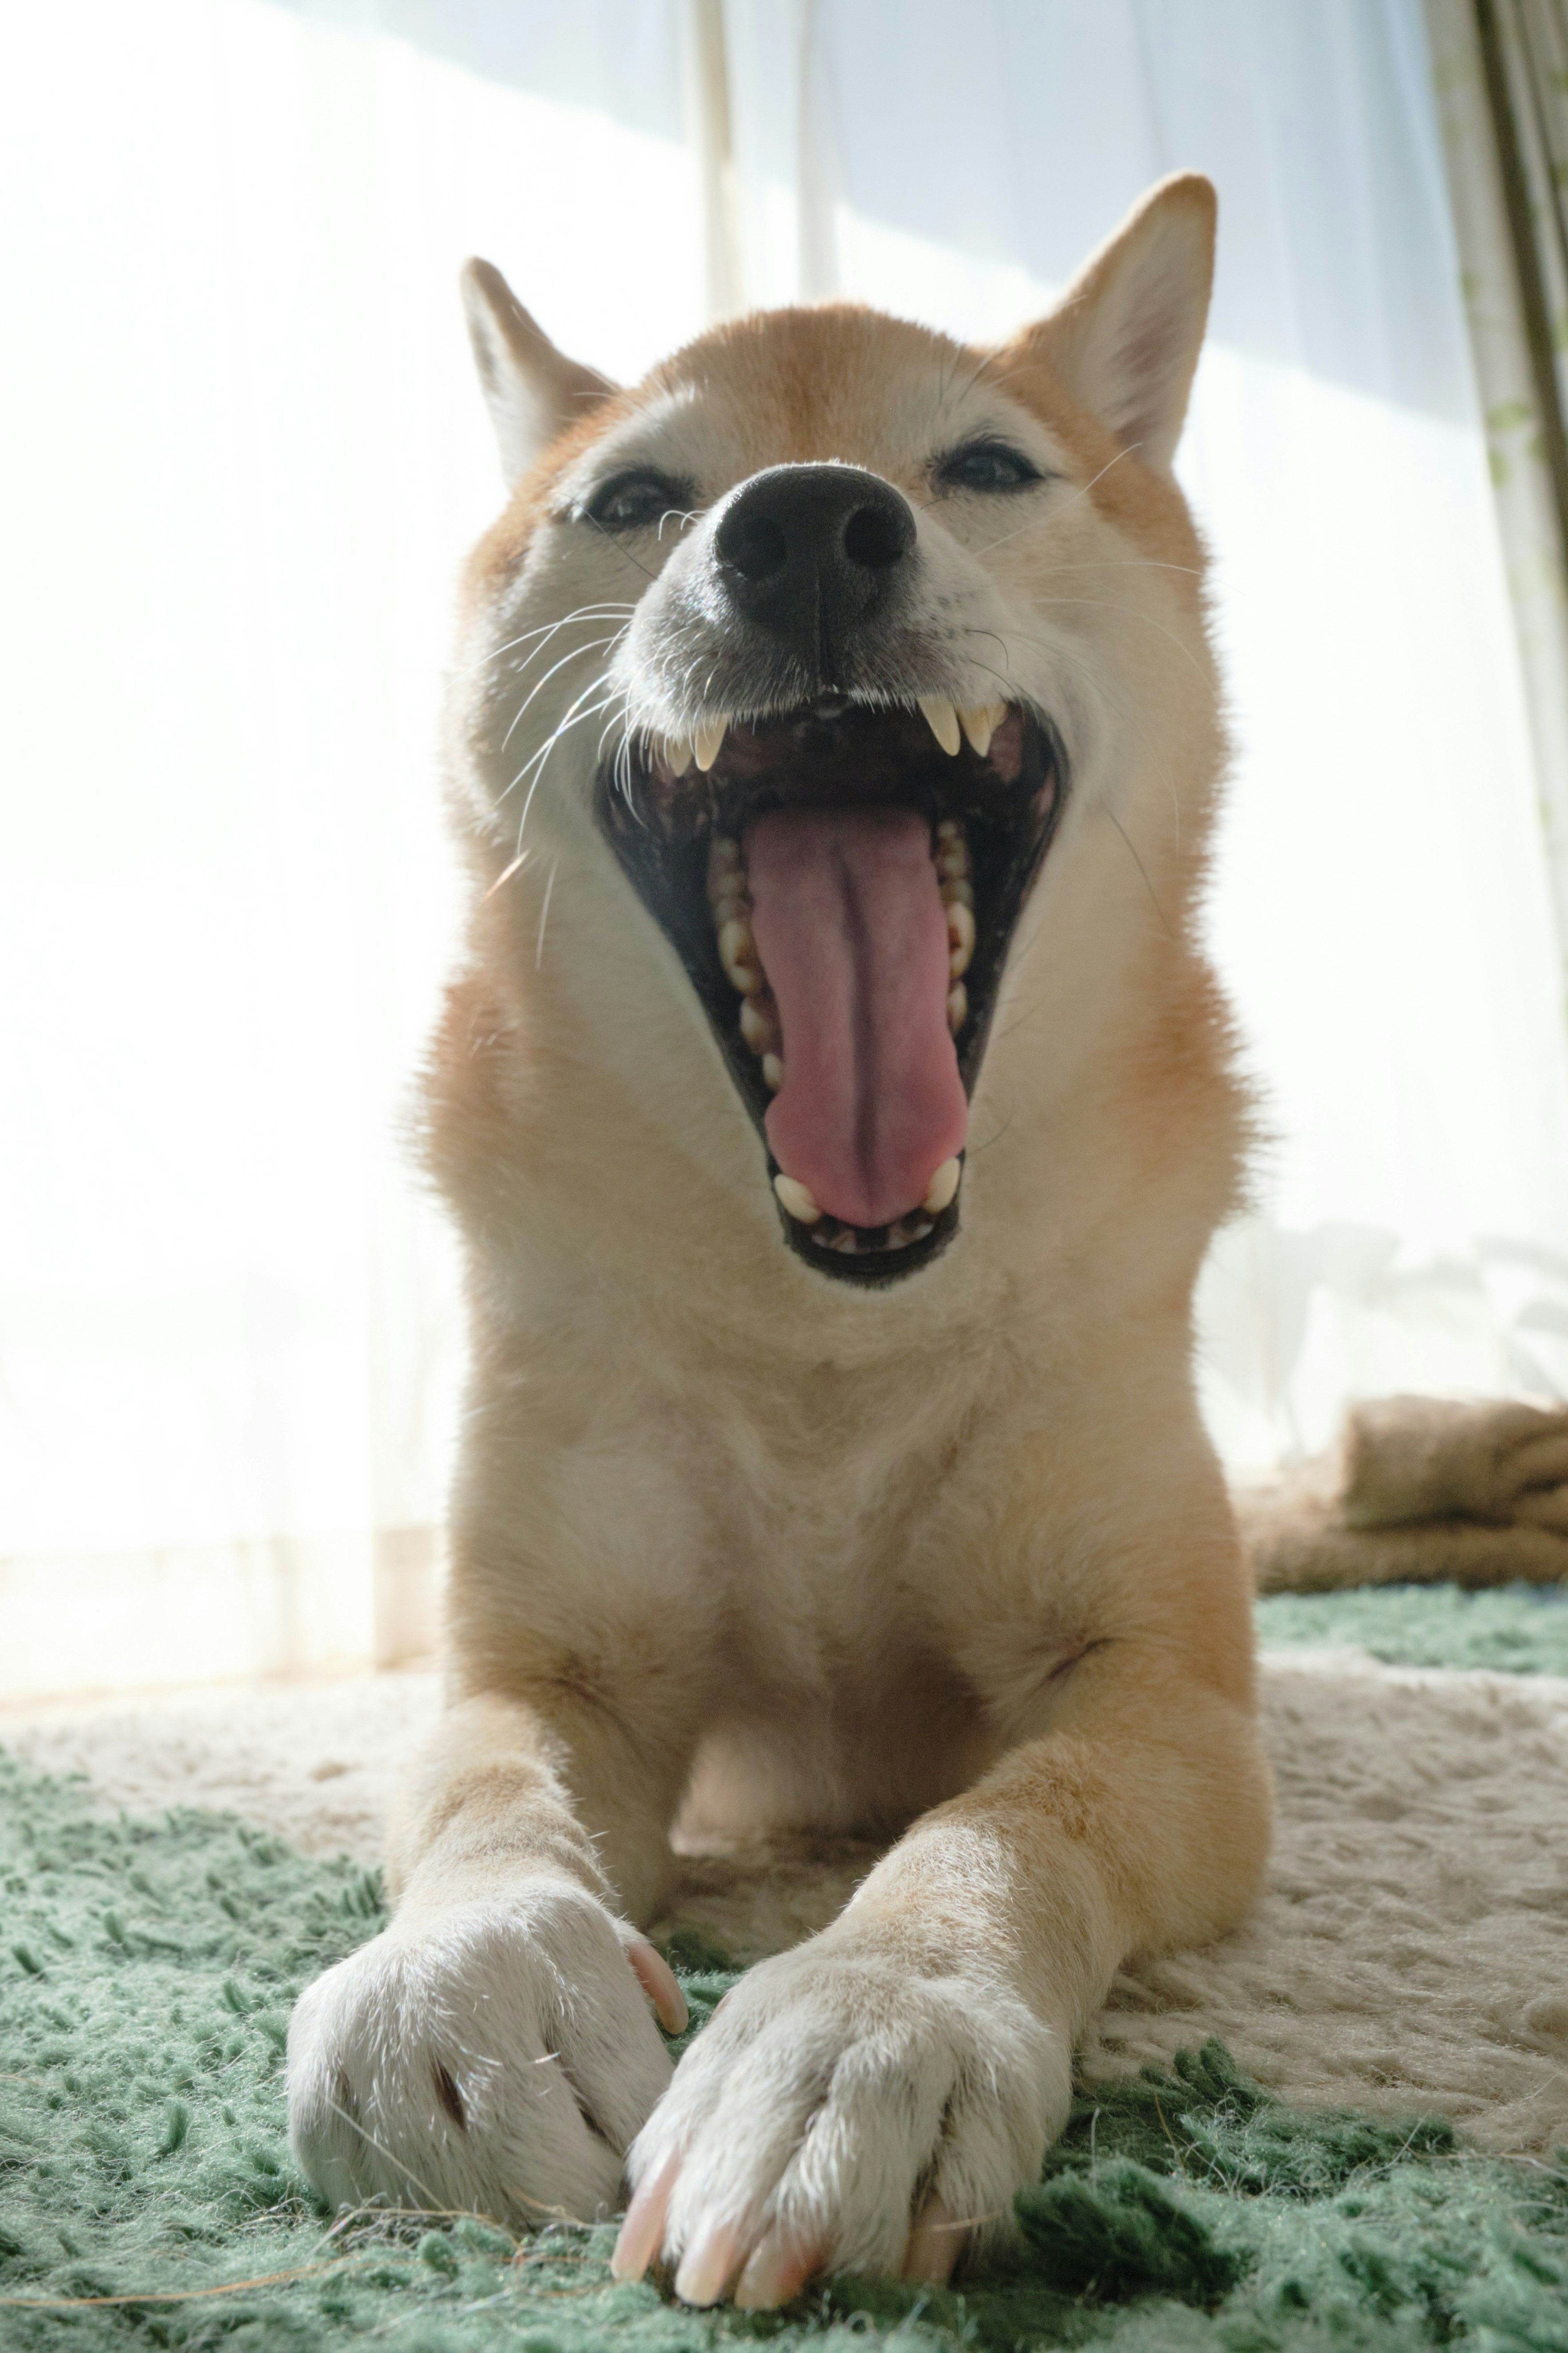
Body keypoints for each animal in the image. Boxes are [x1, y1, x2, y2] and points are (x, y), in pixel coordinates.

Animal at [285, 174, 1278, 2306]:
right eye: (633, 497)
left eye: (985, 468)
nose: (807, 523)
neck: (832, 1325)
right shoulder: (548, 1663)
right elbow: (480, 1781)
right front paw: (462, 1984)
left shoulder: (1165, 1697)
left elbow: (1009, 1820)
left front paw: (864, 2024)